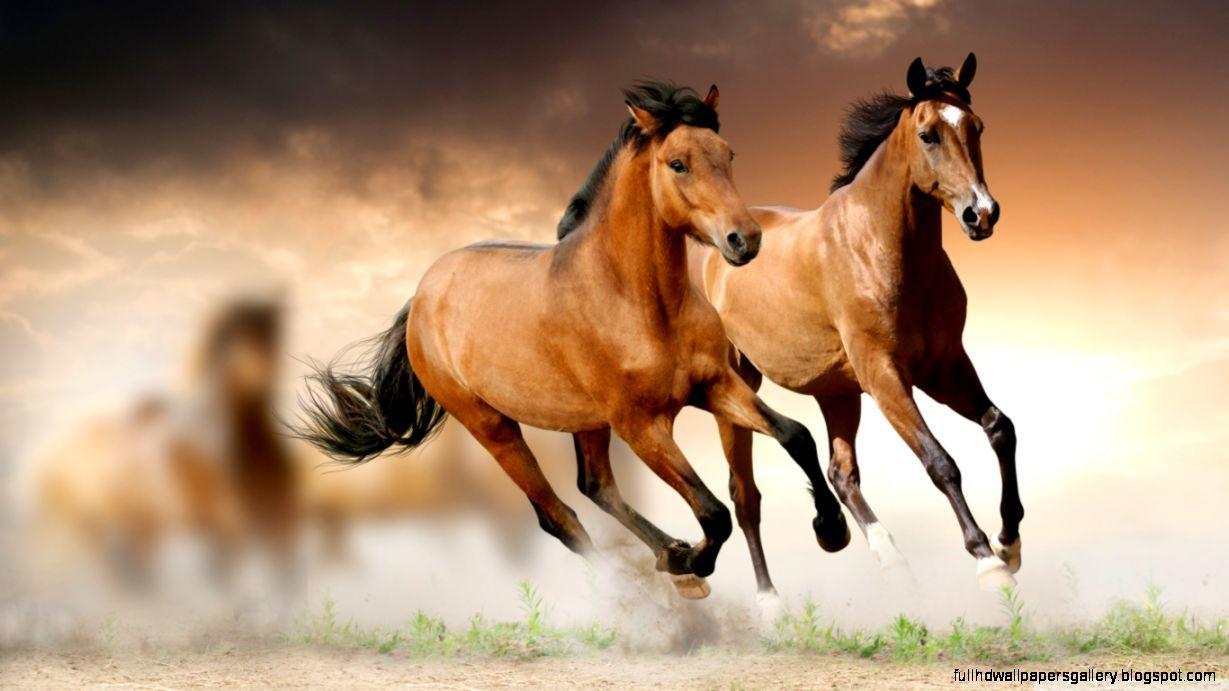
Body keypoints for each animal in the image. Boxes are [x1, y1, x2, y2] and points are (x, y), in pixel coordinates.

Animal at [294, 82, 849, 600]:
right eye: (677, 164)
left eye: (728, 154)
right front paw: (693, 561)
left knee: (595, 486)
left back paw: (668, 555)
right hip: (494, 427)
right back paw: (648, 586)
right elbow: (713, 513)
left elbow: (796, 435)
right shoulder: (641, 425)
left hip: (586, 422)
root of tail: (422, 296)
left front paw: (831, 530)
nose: (745, 240)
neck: (638, 300)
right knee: (558, 516)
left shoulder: (713, 385)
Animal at [689, 54, 1022, 598]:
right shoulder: (884, 374)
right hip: (737, 386)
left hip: (837, 392)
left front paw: (1009, 542)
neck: (879, 247)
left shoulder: (944, 366)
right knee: (745, 496)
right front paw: (986, 560)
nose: (982, 214)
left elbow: (1000, 428)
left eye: (977, 127)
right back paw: (770, 600)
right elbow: (940, 461)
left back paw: (884, 556)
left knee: (841, 473)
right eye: (928, 134)